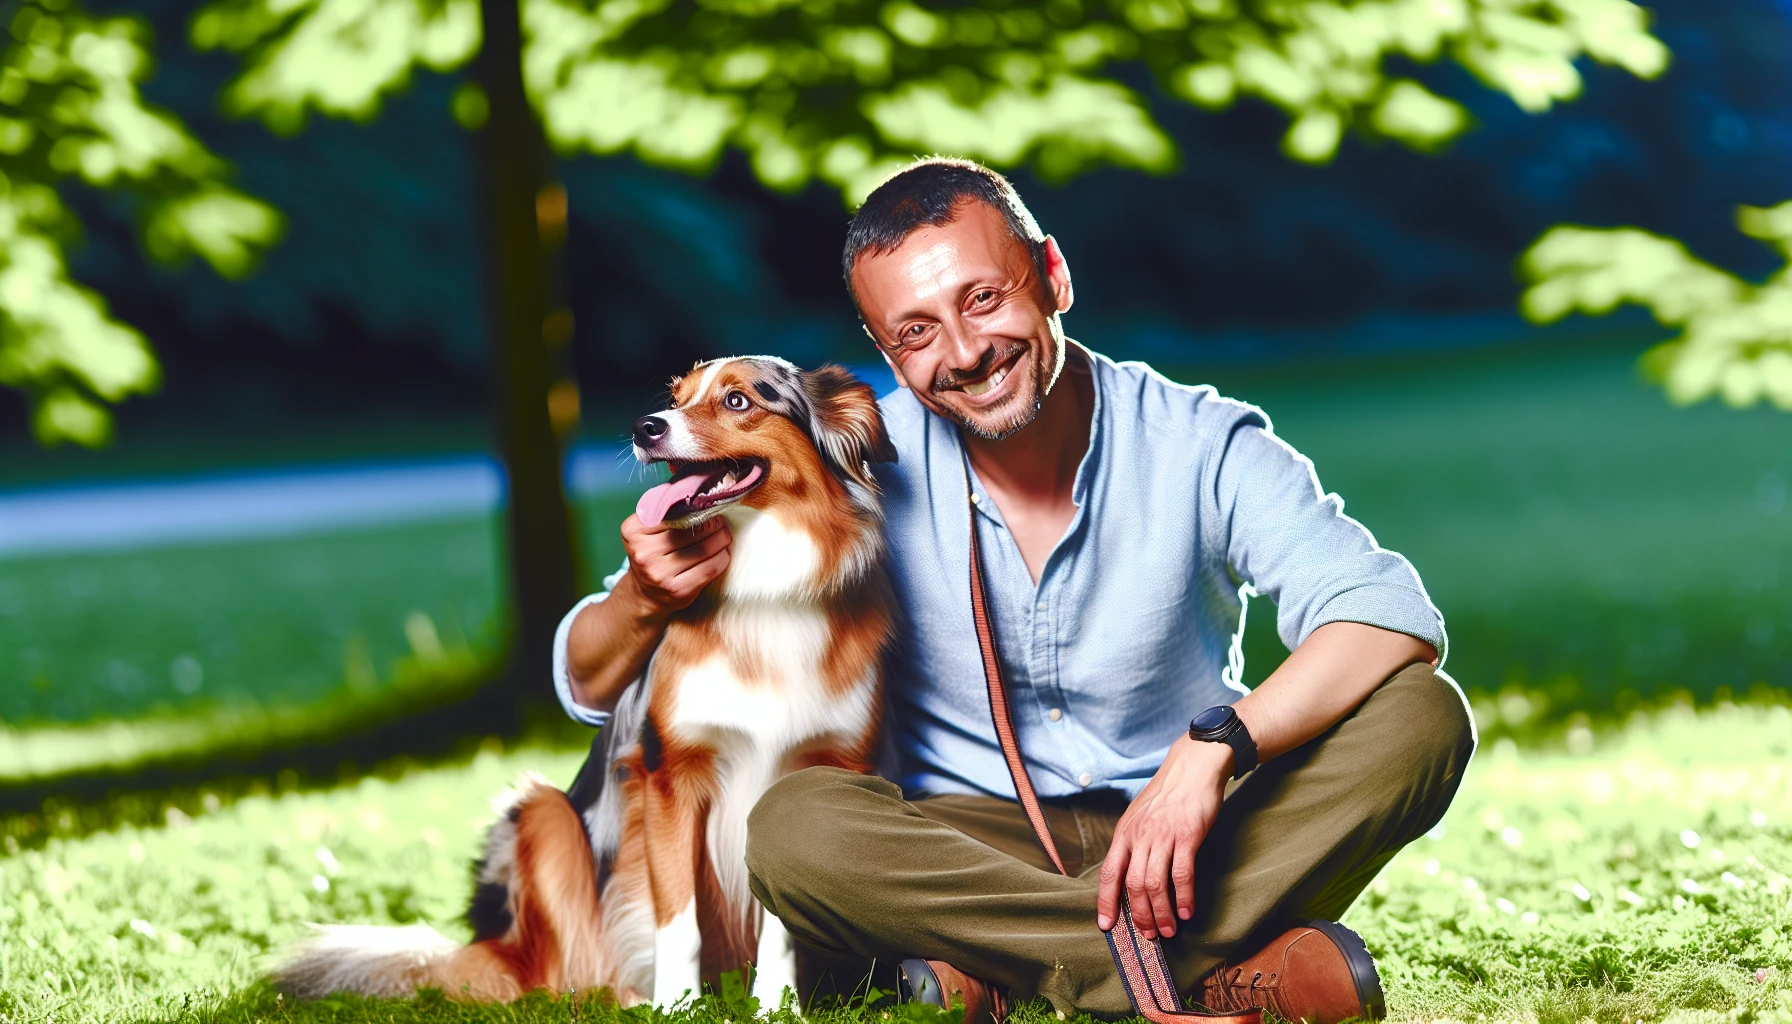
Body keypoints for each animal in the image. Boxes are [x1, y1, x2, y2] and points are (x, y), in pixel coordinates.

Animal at [277, 360, 896, 1011]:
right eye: (675, 397)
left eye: (738, 400)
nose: (645, 426)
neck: (764, 586)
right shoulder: (668, 773)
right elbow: (678, 920)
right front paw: (675, 1008)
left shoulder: (811, 776)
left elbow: (781, 925)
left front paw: (777, 1008)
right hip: (541, 814)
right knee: (554, 976)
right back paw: (620, 997)